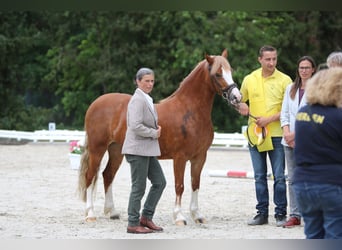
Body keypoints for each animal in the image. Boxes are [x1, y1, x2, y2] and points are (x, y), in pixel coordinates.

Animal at [79, 48, 242, 225]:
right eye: (218, 74)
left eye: (230, 71)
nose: (237, 97)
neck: (191, 111)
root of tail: (95, 104)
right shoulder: (180, 157)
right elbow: (180, 185)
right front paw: (179, 217)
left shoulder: (199, 157)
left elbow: (195, 184)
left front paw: (197, 215)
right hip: (97, 149)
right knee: (90, 176)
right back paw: (90, 214)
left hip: (115, 150)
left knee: (107, 175)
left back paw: (113, 212)